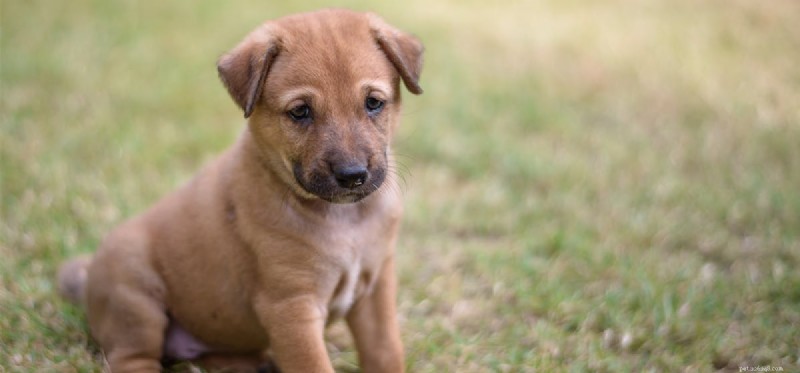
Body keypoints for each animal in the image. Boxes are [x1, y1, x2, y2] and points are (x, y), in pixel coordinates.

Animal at [57, 9, 422, 372]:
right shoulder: (292, 306)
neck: (345, 219)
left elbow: (385, 351)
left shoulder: (375, 288)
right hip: (135, 302)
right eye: (300, 111)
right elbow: (315, 364)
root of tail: (89, 277)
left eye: (373, 103)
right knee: (133, 357)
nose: (352, 175)